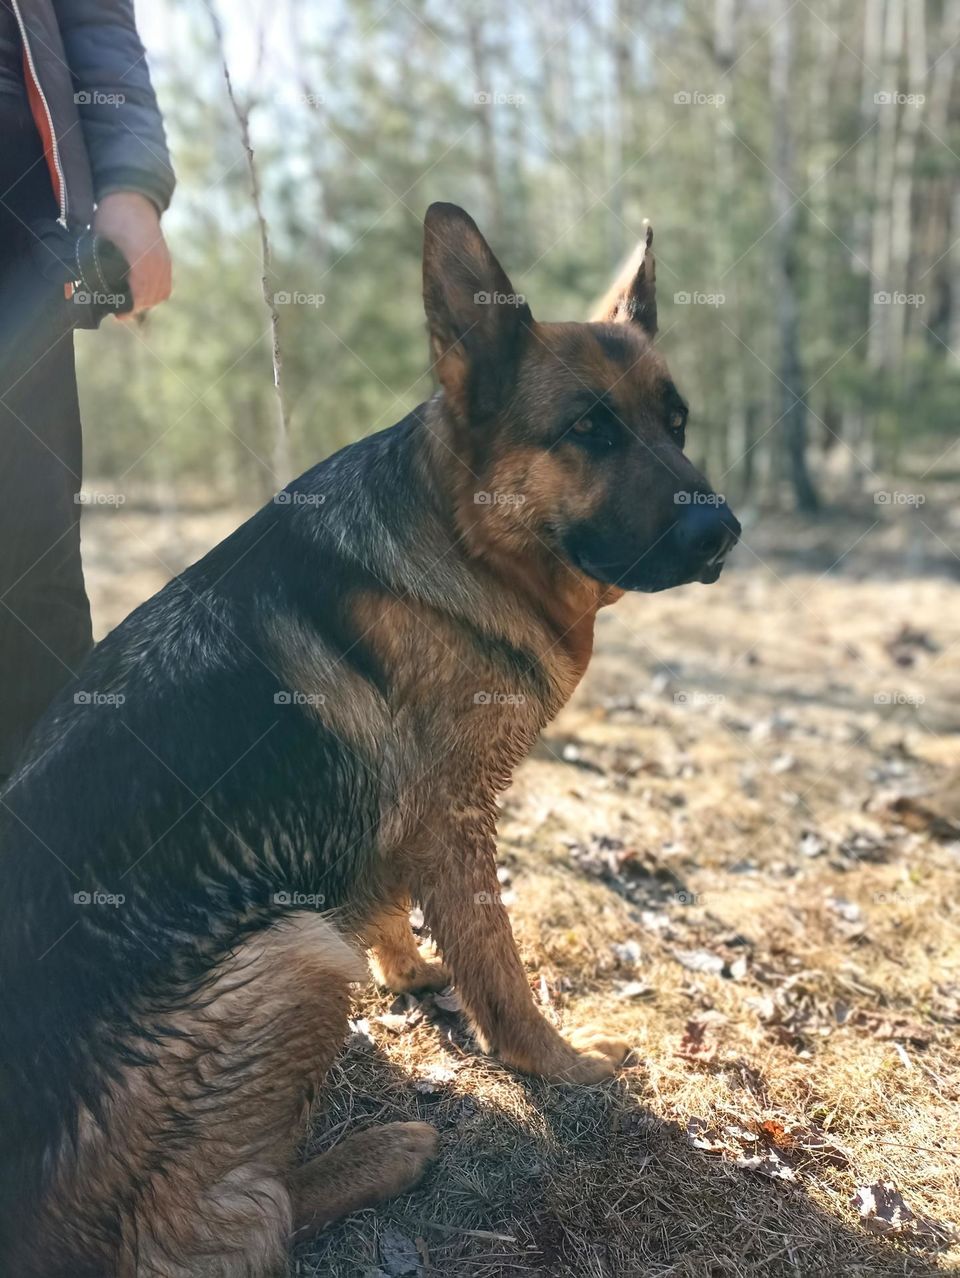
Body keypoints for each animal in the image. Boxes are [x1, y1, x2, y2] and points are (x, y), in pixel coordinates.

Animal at [0, 204, 741, 1272]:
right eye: (589, 431)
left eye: (674, 423)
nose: (723, 532)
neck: (463, 538)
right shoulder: (456, 820)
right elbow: (503, 974)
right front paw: (562, 1066)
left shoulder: (406, 820)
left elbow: (392, 901)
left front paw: (411, 970)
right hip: (295, 957)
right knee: (208, 1234)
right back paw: (382, 1155)